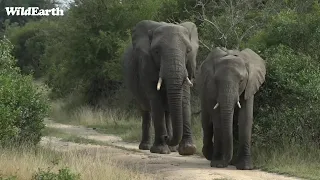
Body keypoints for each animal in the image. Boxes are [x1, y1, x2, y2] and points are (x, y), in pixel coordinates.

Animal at [123, 19, 200, 155]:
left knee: (167, 112)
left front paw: (188, 150)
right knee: (145, 111)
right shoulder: (146, 65)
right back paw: (146, 147)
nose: (166, 137)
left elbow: (184, 99)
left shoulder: (188, 66)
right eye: (157, 51)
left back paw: (172, 148)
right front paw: (160, 150)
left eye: (188, 51)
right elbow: (156, 100)